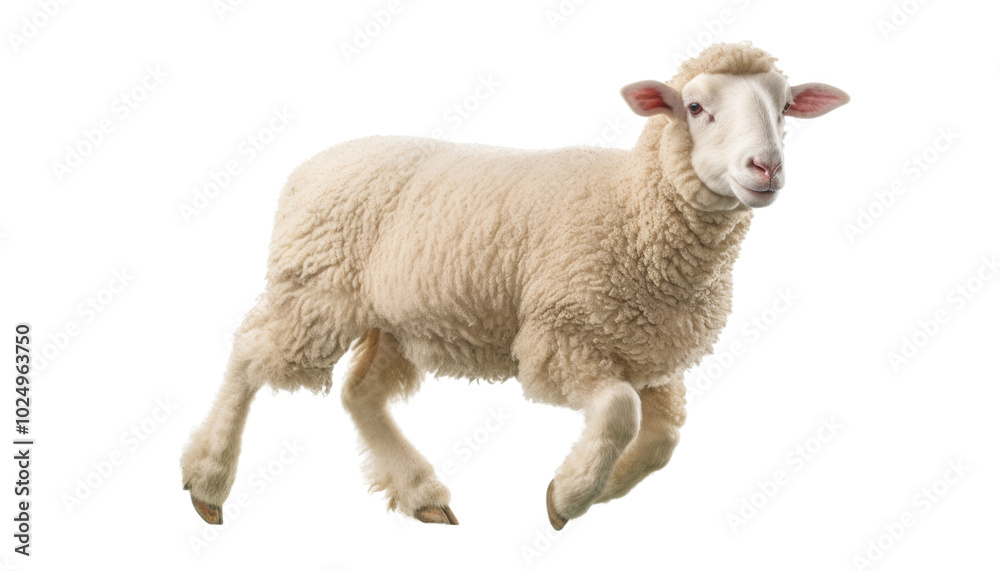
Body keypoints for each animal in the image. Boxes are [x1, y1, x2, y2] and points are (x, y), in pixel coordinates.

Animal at [180, 41, 849, 530]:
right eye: (694, 108)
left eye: (785, 107)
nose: (766, 167)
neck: (632, 209)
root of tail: (308, 166)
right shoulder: (561, 338)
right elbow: (619, 413)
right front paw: (568, 496)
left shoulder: (650, 357)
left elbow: (662, 441)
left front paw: (597, 487)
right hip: (315, 292)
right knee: (249, 355)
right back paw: (209, 480)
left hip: (390, 318)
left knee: (359, 393)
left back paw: (421, 492)